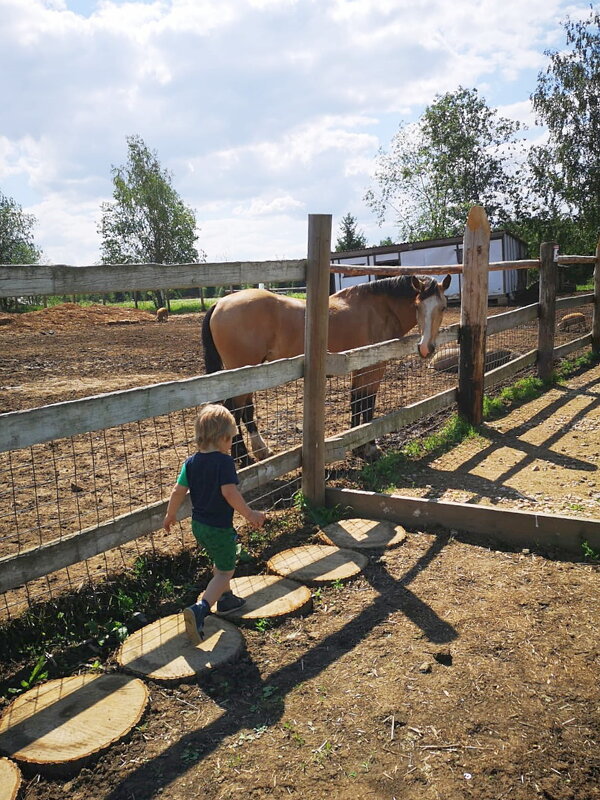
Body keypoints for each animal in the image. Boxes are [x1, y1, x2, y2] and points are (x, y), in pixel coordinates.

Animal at [202, 276, 450, 462]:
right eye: (417, 305)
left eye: (443, 307)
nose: (426, 348)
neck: (378, 309)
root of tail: (220, 304)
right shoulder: (374, 366)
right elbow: (368, 404)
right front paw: (370, 447)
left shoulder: (359, 367)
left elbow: (357, 401)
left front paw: (357, 444)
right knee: (233, 410)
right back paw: (242, 457)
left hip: (250, 374)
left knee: (245, 410)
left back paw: (260, 450)